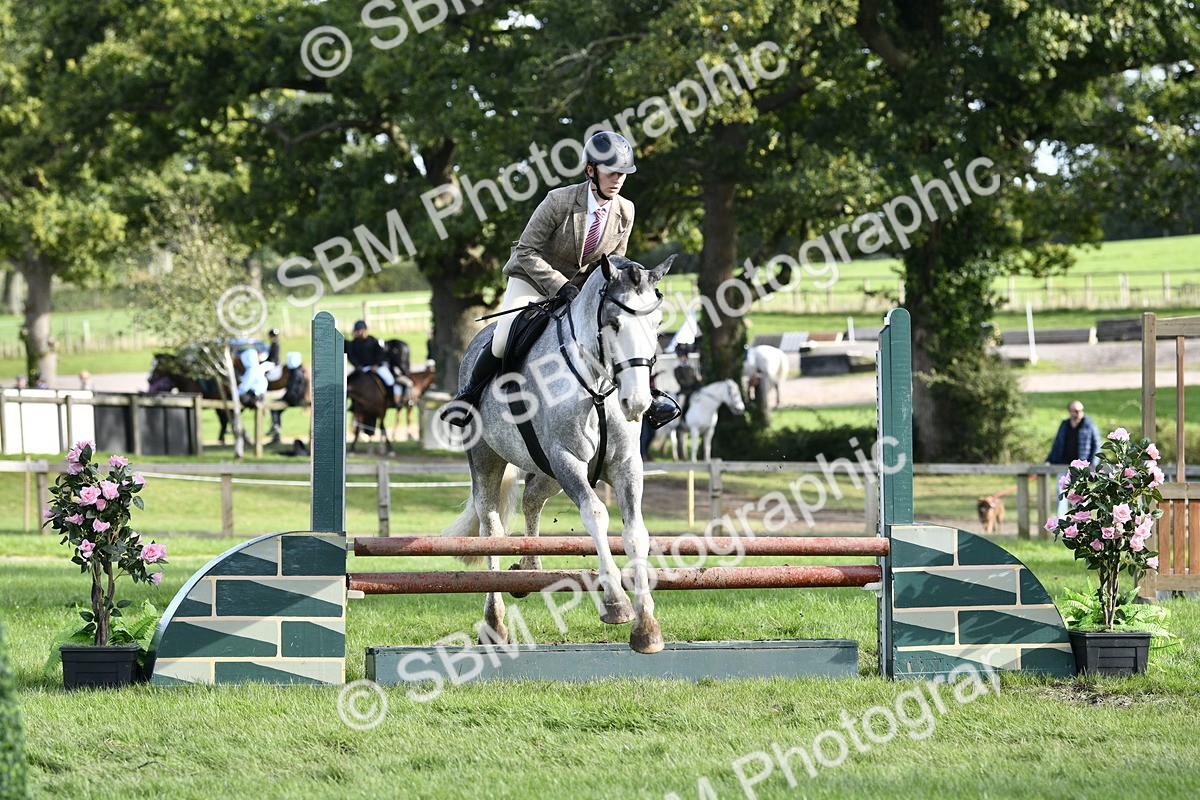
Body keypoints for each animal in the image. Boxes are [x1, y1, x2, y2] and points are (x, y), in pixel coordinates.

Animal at [440, 253, 675, 654]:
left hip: (547, 470)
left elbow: (636, 534)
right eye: (614, 323)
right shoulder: (567, 459)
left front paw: (646, 628)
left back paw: (529, 568)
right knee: (491, 528)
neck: (597, 386)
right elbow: (596, 514)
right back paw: (494, 623)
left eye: (656, 324)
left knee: (532, 498)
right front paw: (616, 604)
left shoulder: (625, 465)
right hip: (488, 458)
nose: (637, 403)